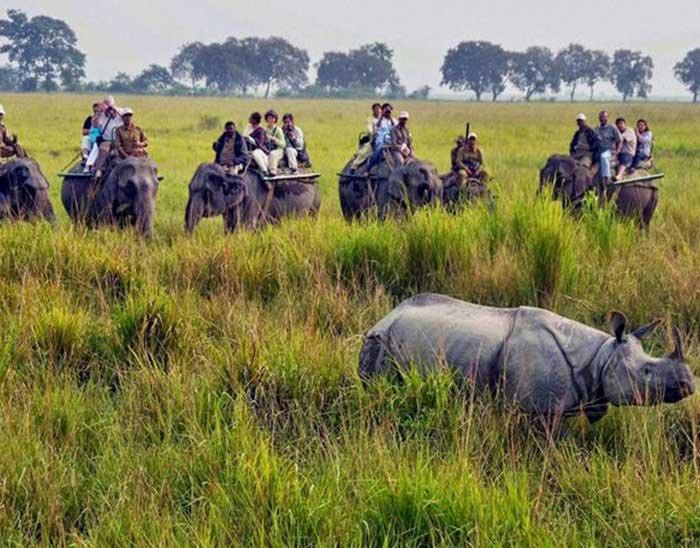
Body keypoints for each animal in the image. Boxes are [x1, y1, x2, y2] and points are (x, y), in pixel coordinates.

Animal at [185, 162, 318, 232]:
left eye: (207, 192)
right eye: (189, 188)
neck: (228, 174)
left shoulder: (253, 200)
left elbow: (246, 229)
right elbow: (229, 229)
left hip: (315, 203)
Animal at [360, 294, 696, 430]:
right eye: (646, 371)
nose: (689, 385)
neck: (600, 356)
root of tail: (386, 315)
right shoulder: (540, 408)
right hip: (380, 343)